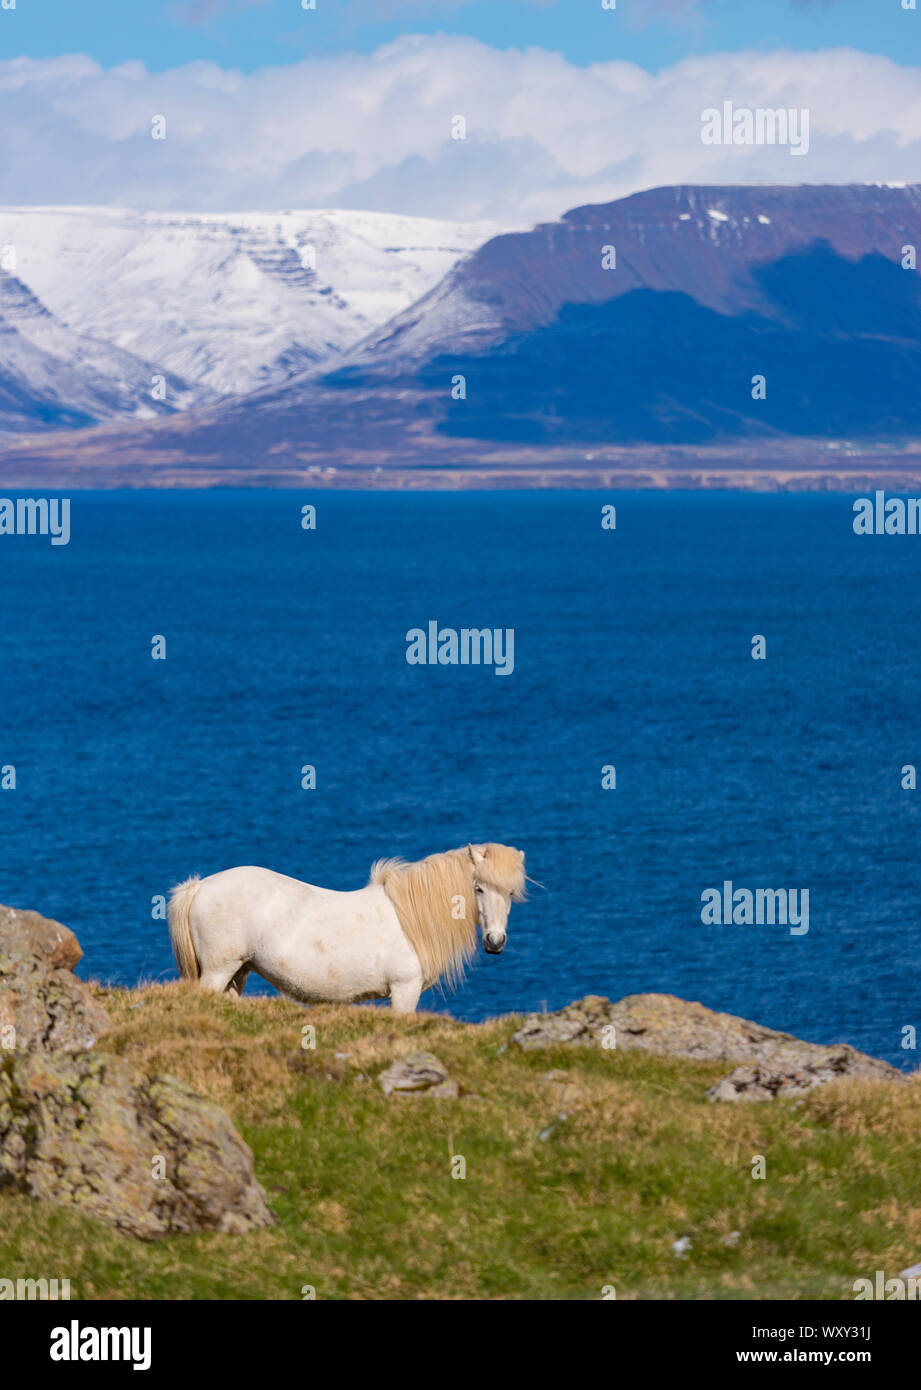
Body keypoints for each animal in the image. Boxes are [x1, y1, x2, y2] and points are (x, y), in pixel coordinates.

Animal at [166, 839, 525, 1017]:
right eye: (478, 888)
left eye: (510, 893)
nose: (495, 942)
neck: (411, 918)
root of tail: (199, 886)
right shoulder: (404, 990)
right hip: (218, 970)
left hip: (238, 971)